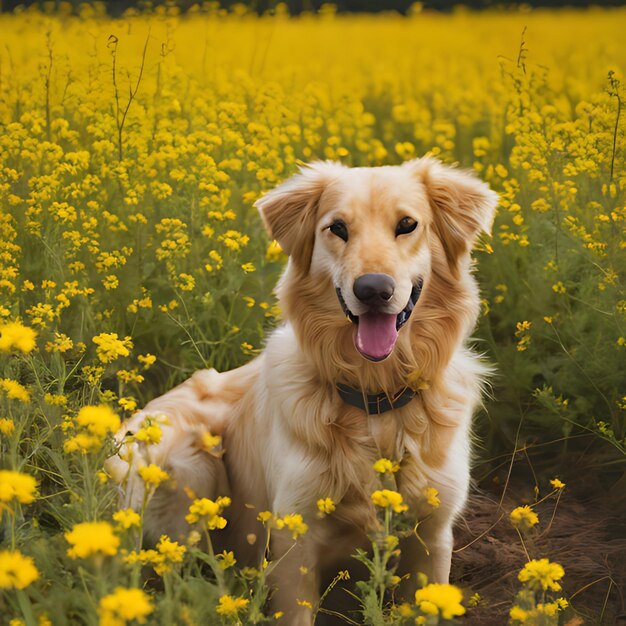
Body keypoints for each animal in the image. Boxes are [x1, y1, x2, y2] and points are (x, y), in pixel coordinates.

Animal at [106, 157, 498, 624]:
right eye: (338, 228)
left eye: (407, 225)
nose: (373, 290)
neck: (375, 399)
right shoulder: (295, 540)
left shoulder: (433, 536)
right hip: (186, 462)